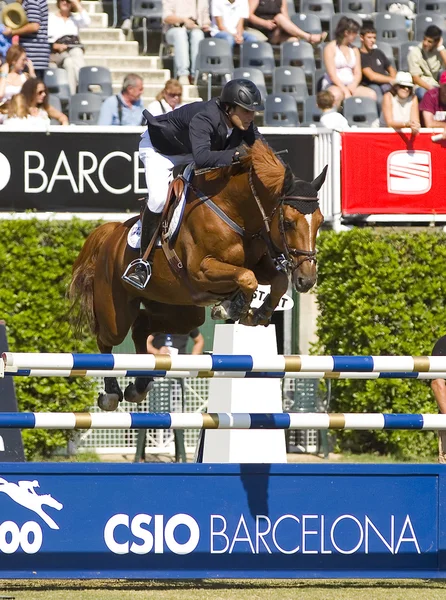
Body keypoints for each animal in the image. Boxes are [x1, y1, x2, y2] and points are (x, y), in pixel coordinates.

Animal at [69, 141, 328, 412]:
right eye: (288, 223)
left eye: (320, 222)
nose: (307, 279)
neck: (236, 211)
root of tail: (111, 233)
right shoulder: (201, 270)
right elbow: (247, 277)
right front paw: (232, 307)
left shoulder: (259, 264)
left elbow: (275, 280)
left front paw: (257, 313)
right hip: (116, 312)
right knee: (107, 339)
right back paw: (110, 393)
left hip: (180, 311)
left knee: (141, 326)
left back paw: (140, 385)